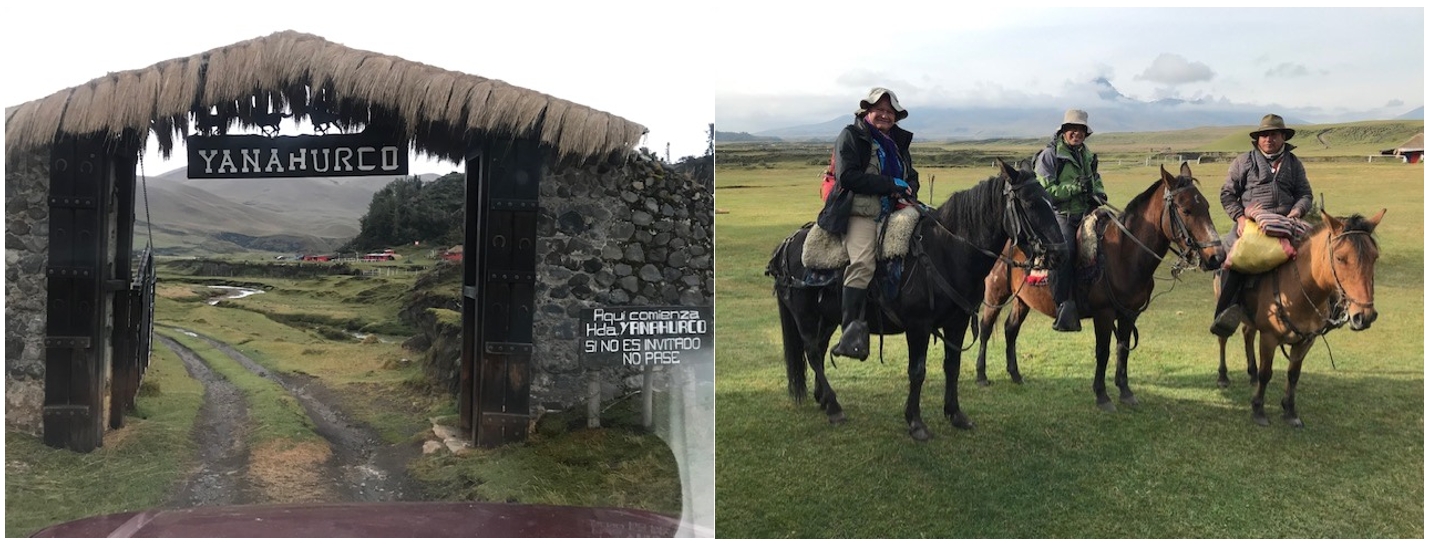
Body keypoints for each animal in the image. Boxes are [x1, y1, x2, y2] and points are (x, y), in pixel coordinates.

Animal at [971, 163, 1228, 408]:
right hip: (995, 293)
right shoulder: (1103, 314)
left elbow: (1123, 349)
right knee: (986, 327)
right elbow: (1102, 352)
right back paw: (981, 375)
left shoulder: (1129, 314)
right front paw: (1102, 396)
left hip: (1022, 300)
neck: (1123, 254)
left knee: (1010, 329)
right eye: (1186, 210)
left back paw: (1015, 375)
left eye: (1206, 206)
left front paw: (1125, 391)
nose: (1217, 256)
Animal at [1217, 209, 1383, 425]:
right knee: (1223, 338)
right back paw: (1223, 376)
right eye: (1340, 258)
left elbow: (1293, 374)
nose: (1364, 316)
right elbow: (1266, 373)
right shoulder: (1269, 337)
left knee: (1248, 333)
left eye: (1374, 257)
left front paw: (1290, 411)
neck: (1299, 290)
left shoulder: (1306, 340)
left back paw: (1251, 374)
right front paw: (1258, 409)